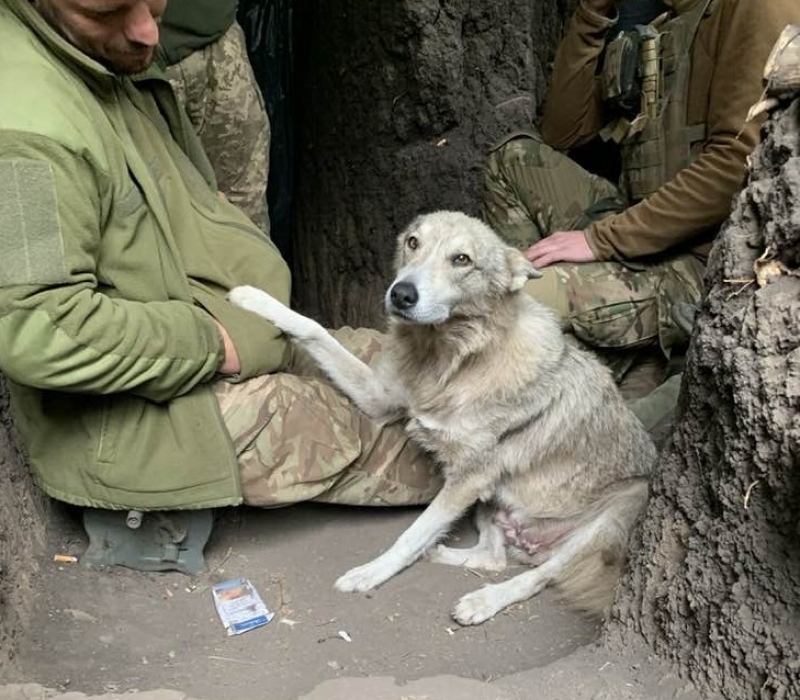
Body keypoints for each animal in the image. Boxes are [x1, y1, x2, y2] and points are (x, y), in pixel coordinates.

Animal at [227, 212, 656, 624]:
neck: (449, 359)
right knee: (492, 558)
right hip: (491, 507)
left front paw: (369, 573)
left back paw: (483, 601)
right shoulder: (381, 400)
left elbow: (410, 535)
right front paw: (252, 298)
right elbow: (314, 328)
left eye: (461, 259)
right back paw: (441, 556)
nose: (401, 293)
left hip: (613, 513)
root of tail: (532, 542)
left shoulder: (467, 478)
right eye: (413, 242)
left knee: (536, 577)